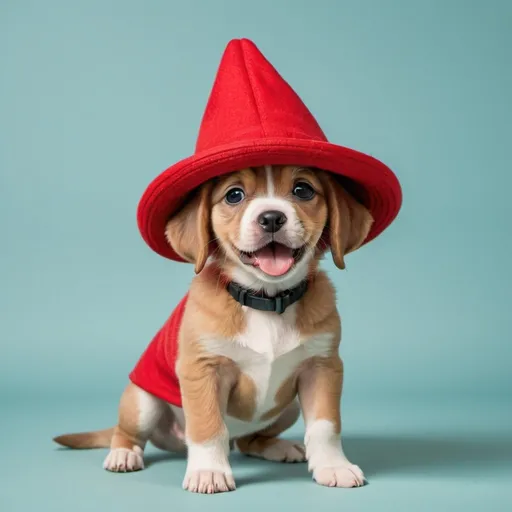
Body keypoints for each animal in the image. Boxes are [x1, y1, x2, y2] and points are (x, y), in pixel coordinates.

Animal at [54, 164, 372, 492]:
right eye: (234, 195)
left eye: (303, 190)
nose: (271, 217)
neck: (266, 301)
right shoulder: (203, 370)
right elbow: (208, 427)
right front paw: (209, 471)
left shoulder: (322, 367)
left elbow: (325, 426)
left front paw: (333, 466)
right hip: (142, 402)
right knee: (127, 432)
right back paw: (123, 454)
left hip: (290, 407)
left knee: (248, 441)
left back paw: (277, 447)